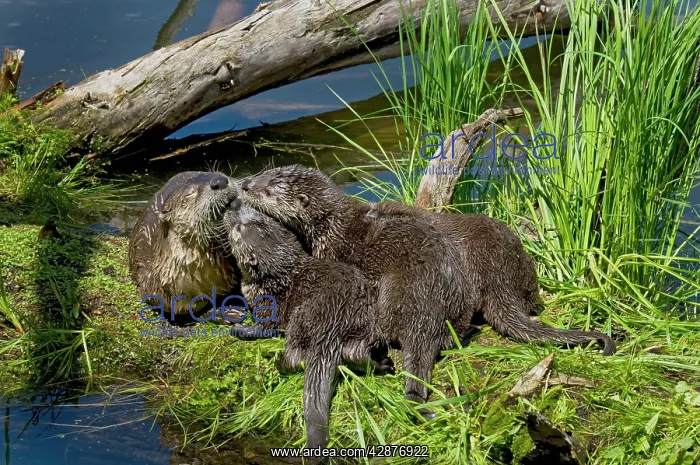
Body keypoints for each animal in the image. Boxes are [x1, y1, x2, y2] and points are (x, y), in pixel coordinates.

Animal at [222, 199, 392, 459]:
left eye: (239, 228)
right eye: (260, 214)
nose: (233, 203)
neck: (279, 277)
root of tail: (332, 322)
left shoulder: (267, 304)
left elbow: (264, 328)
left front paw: (239, 327)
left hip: (299, 321)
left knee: (295, 358)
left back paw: (278, 362)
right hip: (367, 323)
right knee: (356, 353)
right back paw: (383, 364)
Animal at [238, 165, 474, 412]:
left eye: (267, 192)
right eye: (263, 174)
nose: (244, 185)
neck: (329, 227)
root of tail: (427, 316)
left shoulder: (329, 252)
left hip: (391, 297)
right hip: (461, 300)